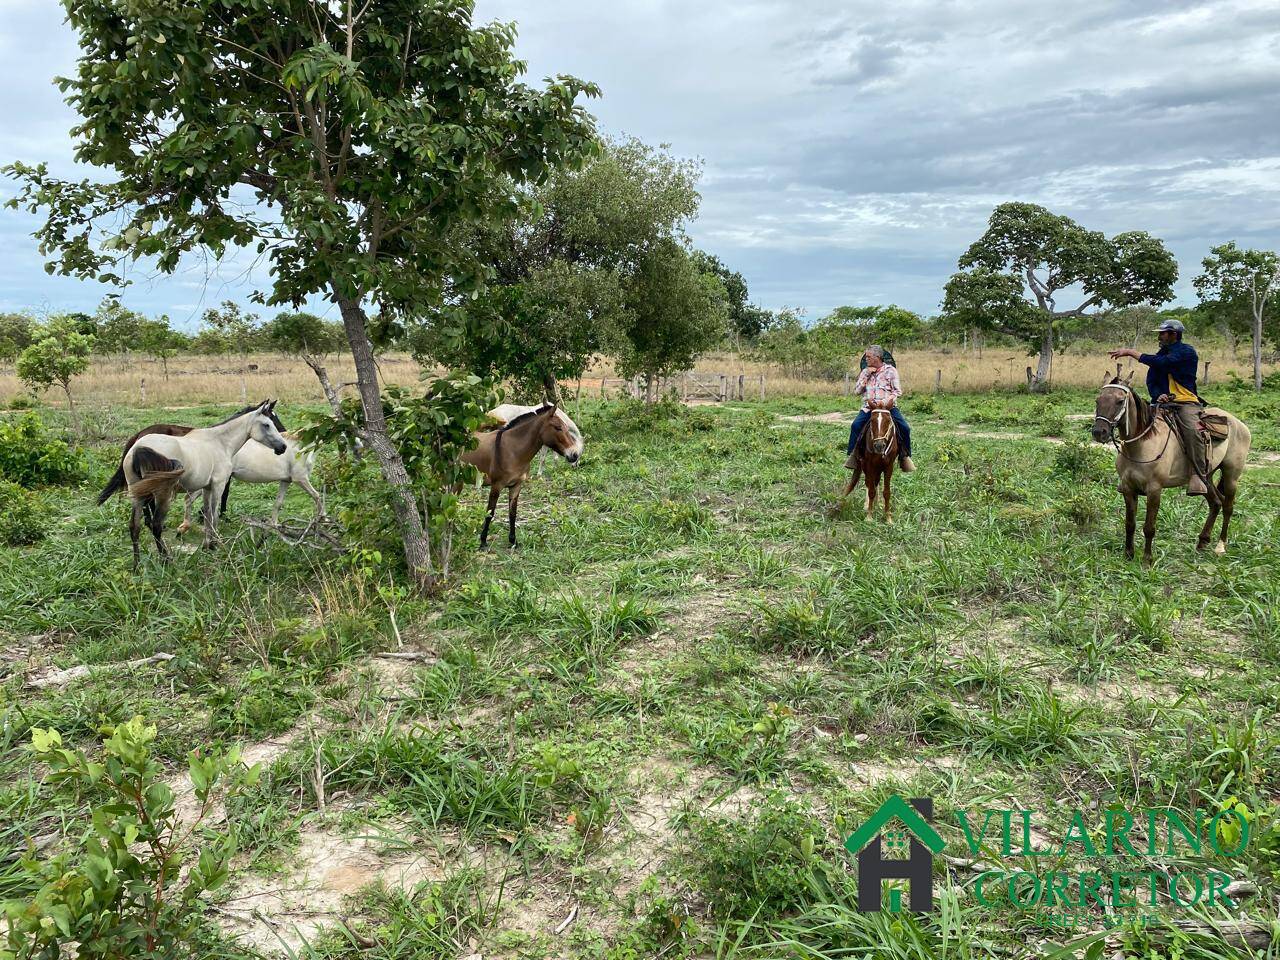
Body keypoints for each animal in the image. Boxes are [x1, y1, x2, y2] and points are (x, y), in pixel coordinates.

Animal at [123, 399, 286, 563]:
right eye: (267, 424)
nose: (283, 446)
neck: (220, 443)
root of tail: (138, 447)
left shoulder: (207, 487)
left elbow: (207, 514)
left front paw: (207, 545)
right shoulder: (218, 485)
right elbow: (214, 515)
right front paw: (214, 544)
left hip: (138, 494)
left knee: (135, 527)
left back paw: (137, 564)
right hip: (162, 494)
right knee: (156, 525)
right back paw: (166, 560)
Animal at [176, 435, 325, 537]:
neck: (300, 450)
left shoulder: (286, 481)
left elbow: (278, 503)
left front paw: (273, 527)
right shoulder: (300, 479)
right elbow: (317, 496)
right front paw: (323, 518)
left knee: (189, 499)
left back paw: (184, 528)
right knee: (190, 499)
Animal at [460, 399, 581, 547]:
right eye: (558, 427)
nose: (574, 455)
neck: (512, 450)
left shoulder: (516, 486)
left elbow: (513, 514)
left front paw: (513, 541)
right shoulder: (496, 486)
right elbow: (490, 513)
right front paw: (483, 541)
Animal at [1090, 373, 1249, 563]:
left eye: (1120, 401)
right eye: (1098, 400)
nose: (1099, 432)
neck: (1141, 445)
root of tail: (1238, 423)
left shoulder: (1154, 490)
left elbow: (1149, 527)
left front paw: (1147, 560)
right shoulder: (1128, 489)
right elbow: (1130, 524)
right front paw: (1128, 555)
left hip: (1231, 475)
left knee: (1228, 506)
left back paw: (1220, 546)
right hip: (1205, 476)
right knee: (1216, 503)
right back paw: (1202, 542)